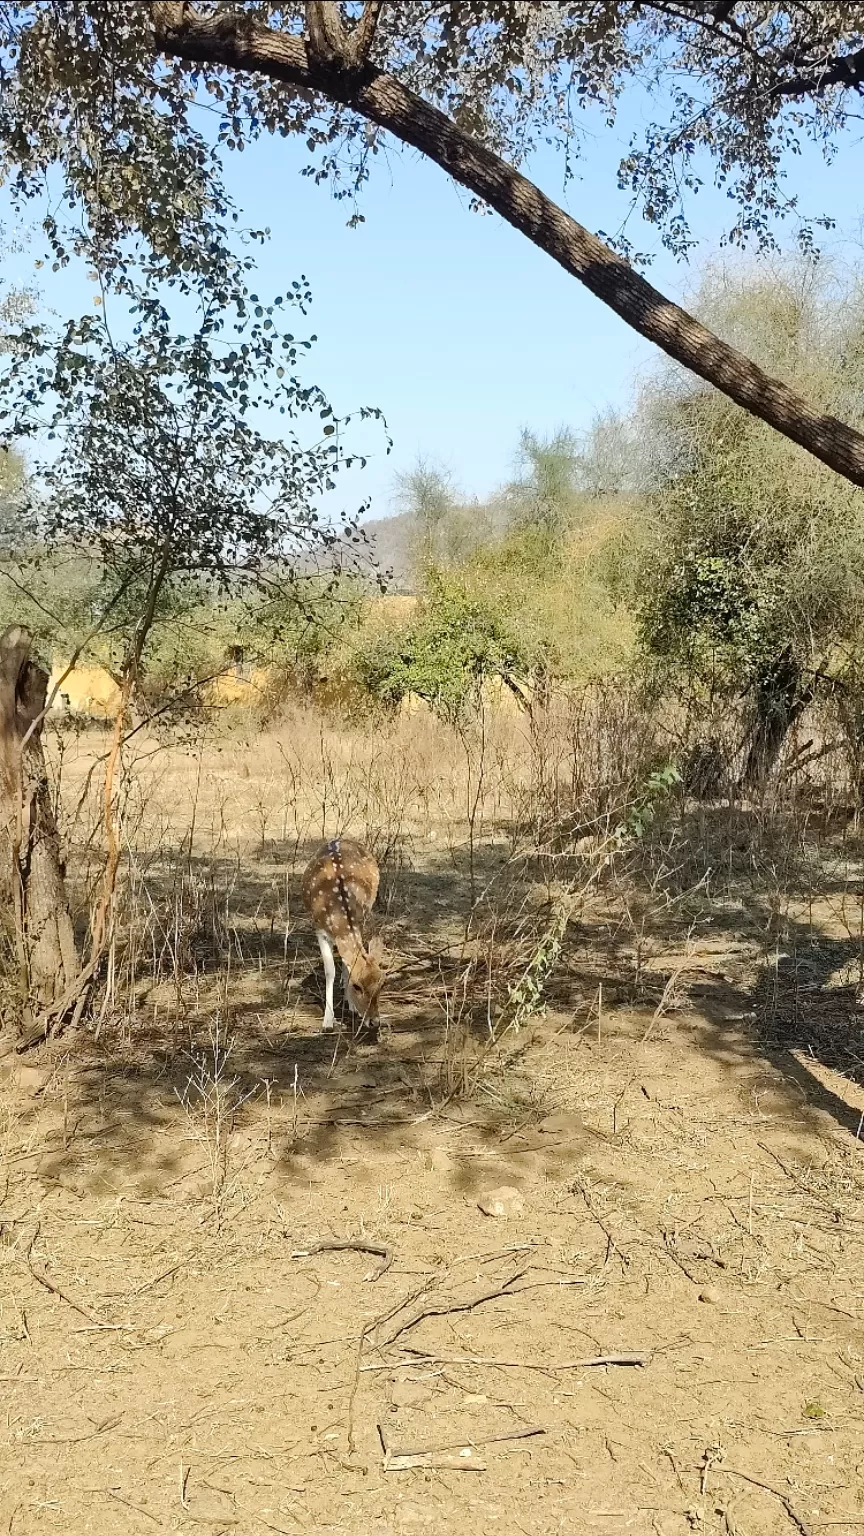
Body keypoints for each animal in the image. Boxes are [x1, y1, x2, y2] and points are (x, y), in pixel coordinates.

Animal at [301, 841, 384, 1032]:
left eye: (382, 984)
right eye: (357, 986)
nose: (374, 1022)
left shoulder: (359, 922)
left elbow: (348, 964)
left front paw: (351, 1005)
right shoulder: (319, 930)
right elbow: (329, 970)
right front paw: (328, 1021)